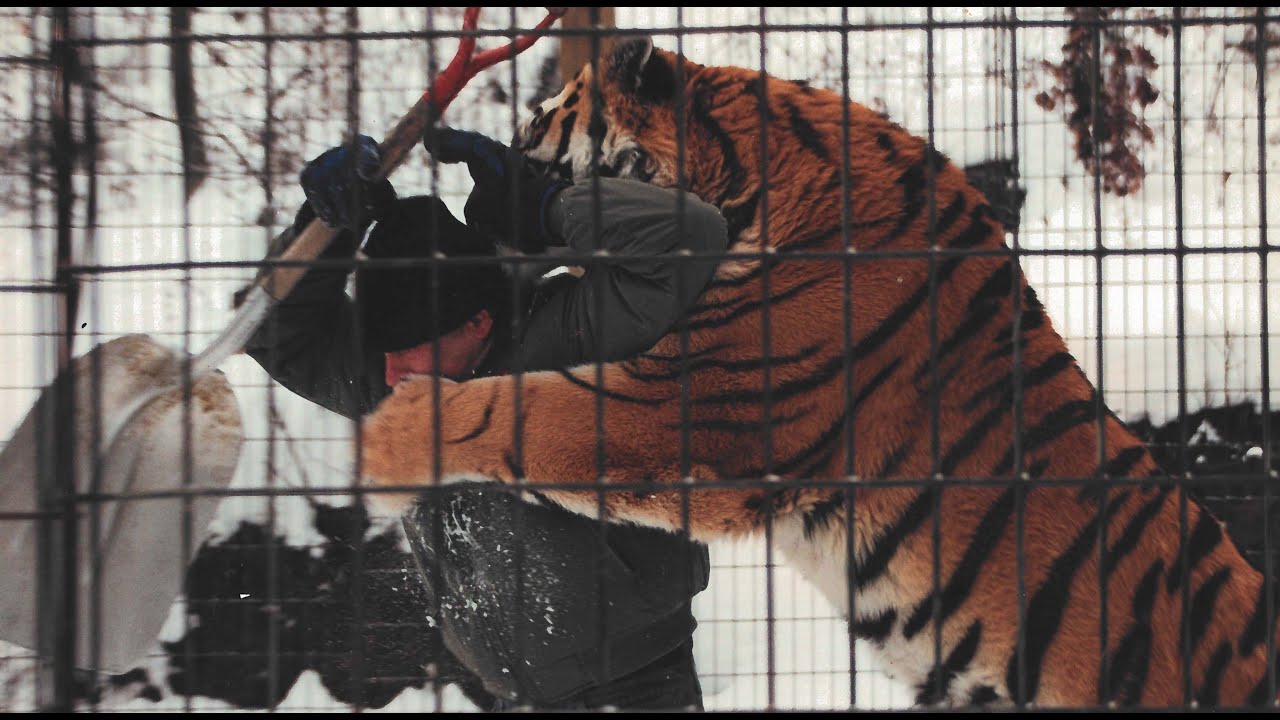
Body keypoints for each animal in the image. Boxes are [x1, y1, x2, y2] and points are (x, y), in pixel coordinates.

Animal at [360, 36, 1280, 708]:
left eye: (533, 138)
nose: (473, 216)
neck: (751, 181)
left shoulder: (693, 404)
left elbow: (521, 407)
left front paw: (384, 440)